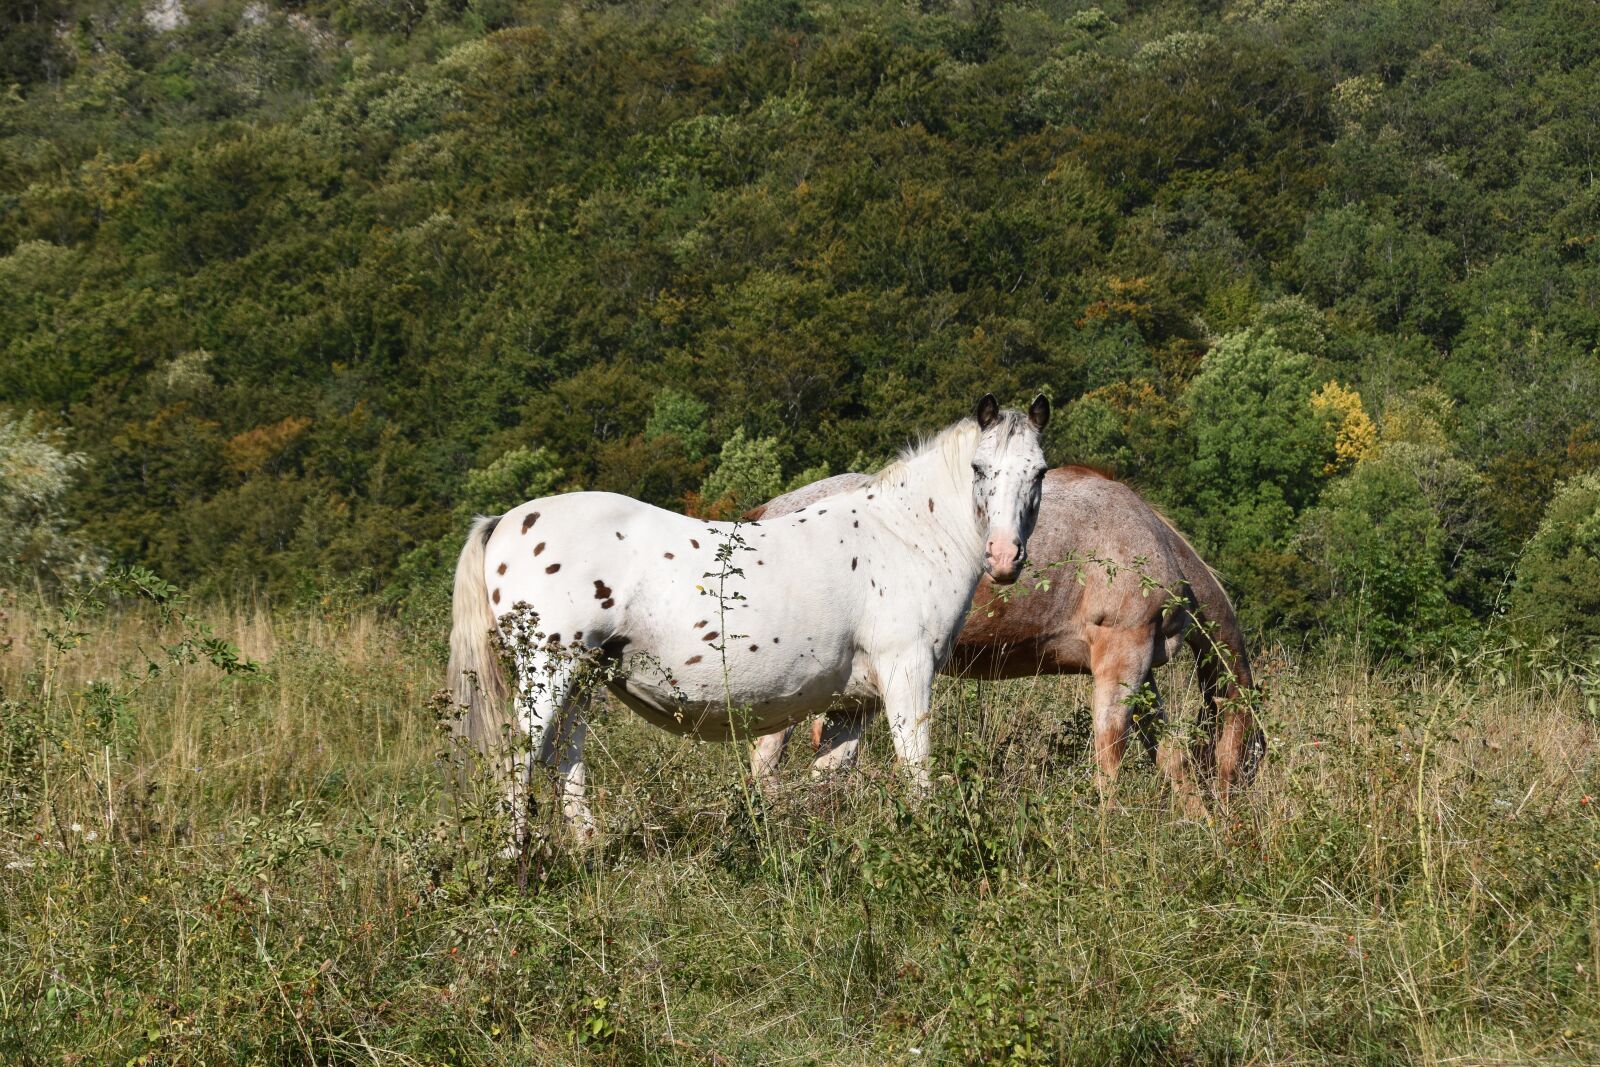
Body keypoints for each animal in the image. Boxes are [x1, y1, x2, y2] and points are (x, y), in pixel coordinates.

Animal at [446, 393, 1052, 842]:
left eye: (1039, 473)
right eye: (979, 468)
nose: (1004, 557)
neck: (905, 536)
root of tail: (506, 520)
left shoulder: (852, 705)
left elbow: (829, 781)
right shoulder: (907, 674)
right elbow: (917, 769)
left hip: (580, 681)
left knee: (565, 762)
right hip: (547, 675)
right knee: (518, 763)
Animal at [746, 465, 1263, 812]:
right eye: (1251, 759)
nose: (1235, 820)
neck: (1153, 540)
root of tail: (768, 511)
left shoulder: (1140, 667)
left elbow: (1170, 754)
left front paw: (1195, 821)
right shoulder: (1121, 655)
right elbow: (1110, 751)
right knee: (766, 759)